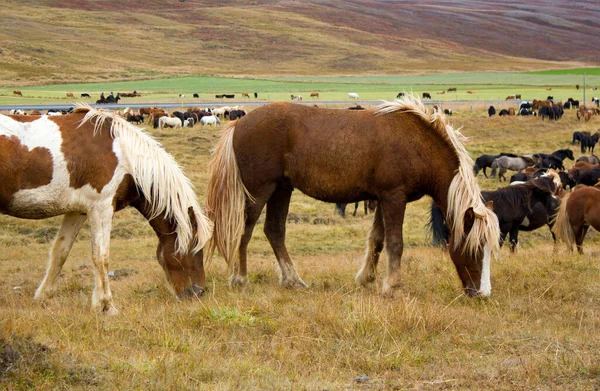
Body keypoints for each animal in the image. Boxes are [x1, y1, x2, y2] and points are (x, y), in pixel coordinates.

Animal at [0, 105, 214, 314]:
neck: (125, 157)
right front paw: (106, 305)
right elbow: (101, 256)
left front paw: (43, 296)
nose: (198, 292)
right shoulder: (101, 207)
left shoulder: (77, 211)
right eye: (196, 248)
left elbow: (60, 251)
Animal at [206, 95, 502, 298]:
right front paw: (392, 286)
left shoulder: (383, 199)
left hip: (281, 189)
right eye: (475, 249)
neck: (417, 143)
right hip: (260, 190)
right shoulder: (394, 197)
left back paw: (293, 280)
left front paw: (366, 279)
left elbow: (377, 240)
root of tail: (239, 123)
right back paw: (240, 279)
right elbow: (395, 243)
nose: (482, 294)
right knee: (245, 230)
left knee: (274, 231)